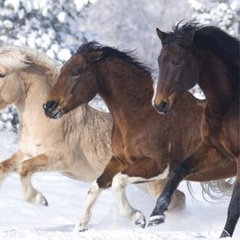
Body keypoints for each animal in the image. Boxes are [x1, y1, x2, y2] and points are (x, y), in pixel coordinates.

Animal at [43, 42, 236, 232]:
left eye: (75, 72)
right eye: (63, 70)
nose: (48, 106)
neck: (142, 114)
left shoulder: (157, 166)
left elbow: (117, 182)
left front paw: (138, 218)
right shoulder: (120, 160)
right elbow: (96, 186)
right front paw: (80, 226)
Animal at [153, 21, 239, 238]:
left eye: (177, 61)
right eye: (160, 61)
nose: (160, 104)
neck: (229, 103)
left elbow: (234, 207)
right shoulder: (215, 151)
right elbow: (178, 171)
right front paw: (156, 215)